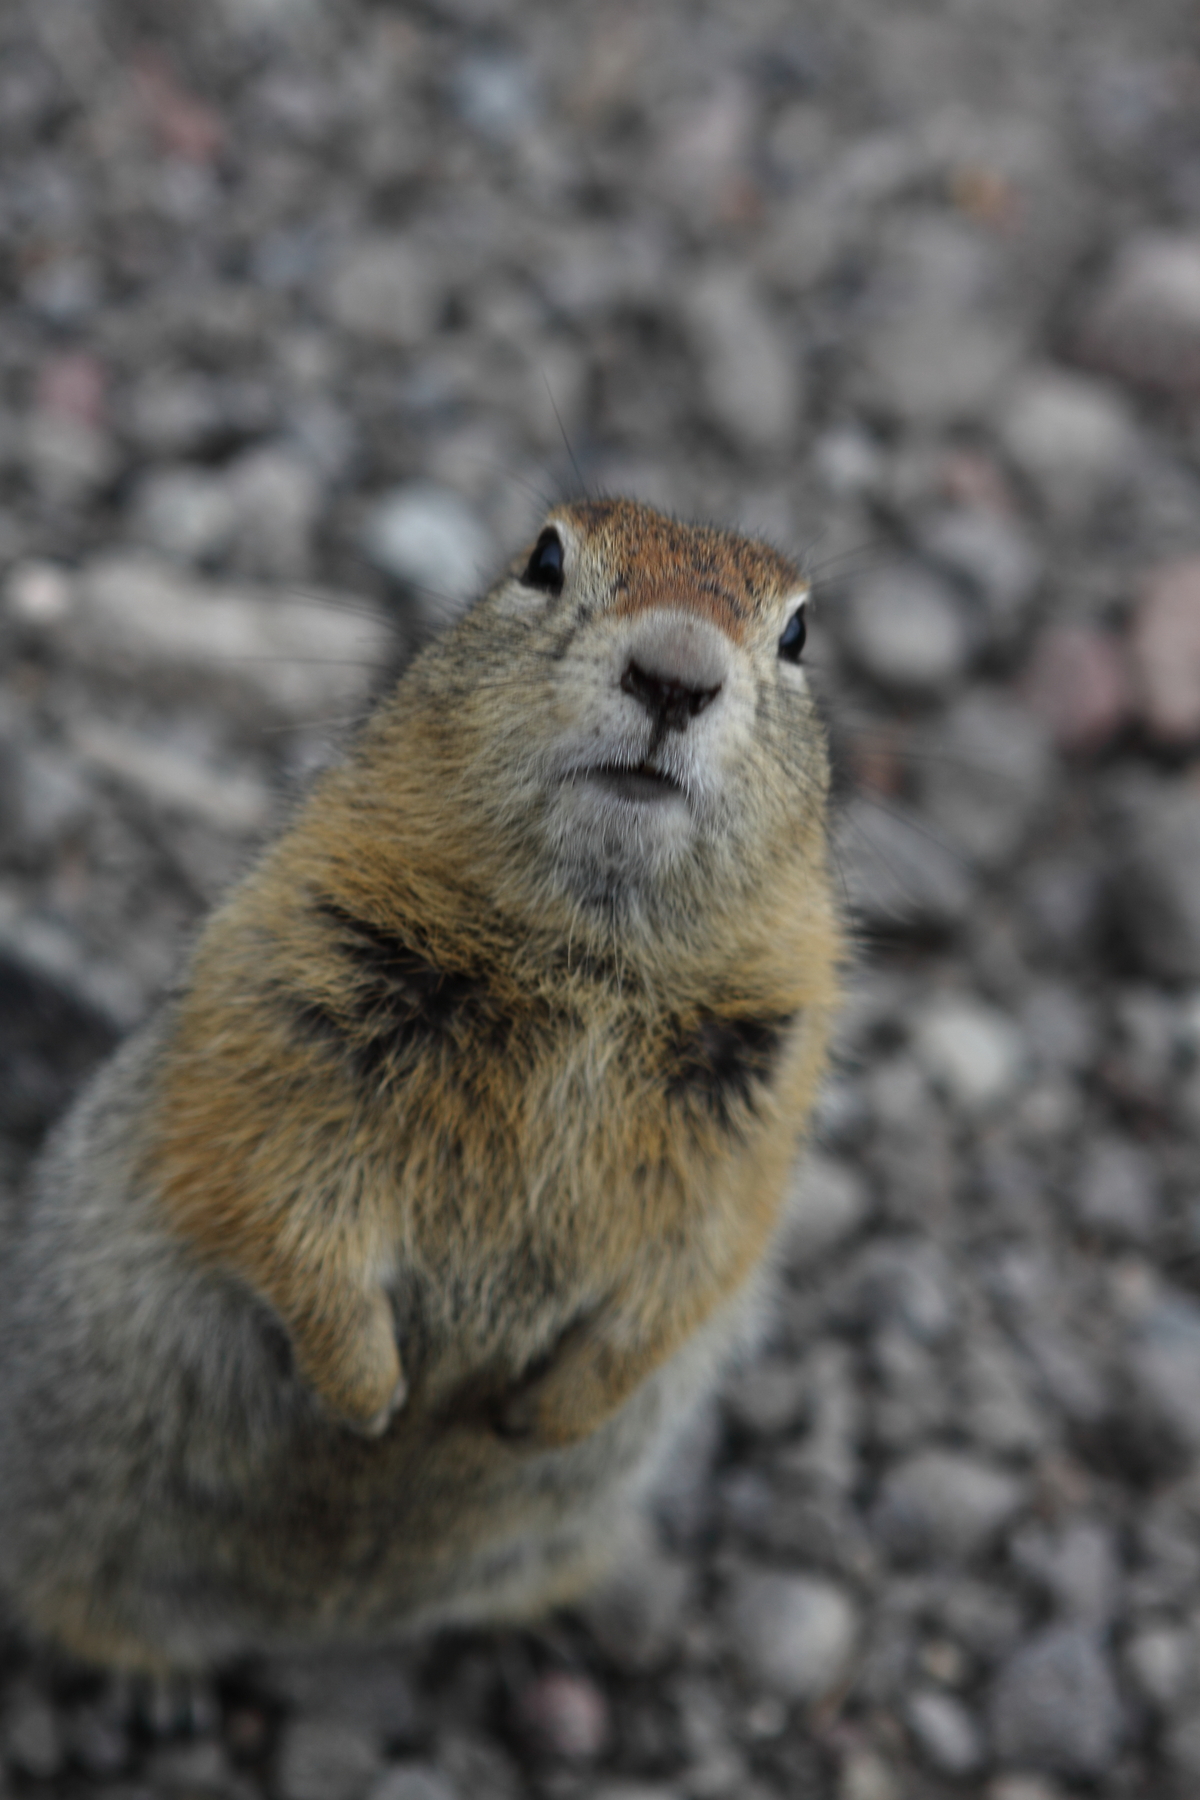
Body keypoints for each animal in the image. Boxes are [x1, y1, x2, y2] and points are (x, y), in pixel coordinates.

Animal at [0, 496, 845, 1670]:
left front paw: (549, 1411)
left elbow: (701, 1255)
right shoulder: (290, 985)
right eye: (543, 558)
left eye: (799, 632)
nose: (676, 673)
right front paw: (370, 1396)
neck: (589, 967)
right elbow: (270, 1187)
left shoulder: (765, 1088)